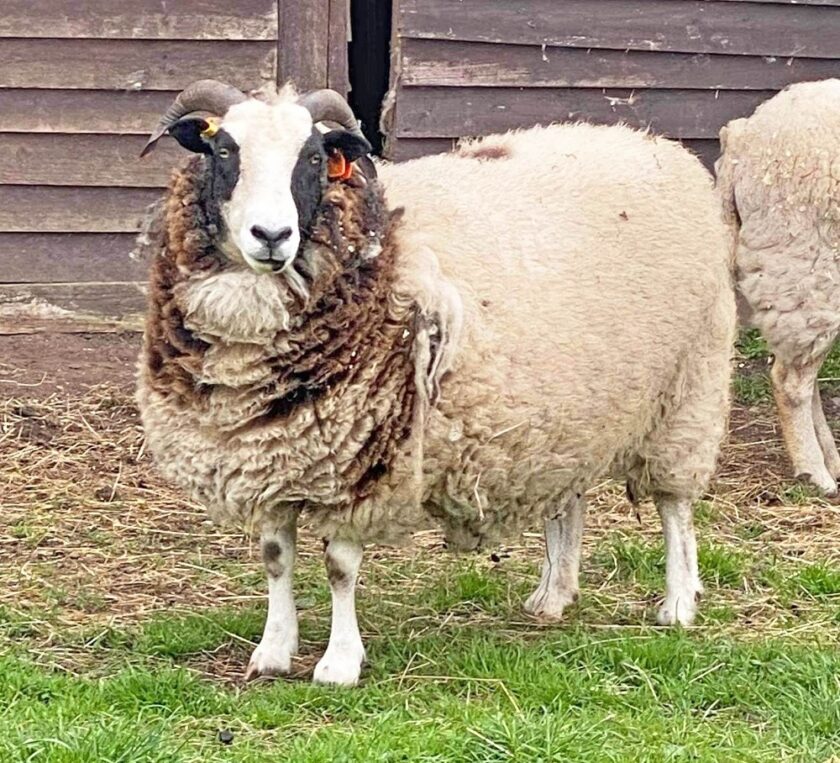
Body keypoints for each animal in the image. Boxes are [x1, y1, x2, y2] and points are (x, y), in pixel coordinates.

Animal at [137, 80, 736, 686]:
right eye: (224, 151)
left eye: (313, 158)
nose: (272, 235)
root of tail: (655, 145)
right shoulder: (272, 457)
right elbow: (276, 559)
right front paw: (273, 651)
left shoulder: (364, 459)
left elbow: (339, 566)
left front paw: (339, 663)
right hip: (570, 411)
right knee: (569, 498)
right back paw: (553, 595)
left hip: (689, 391)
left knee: (675, 508)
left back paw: (678, 603)